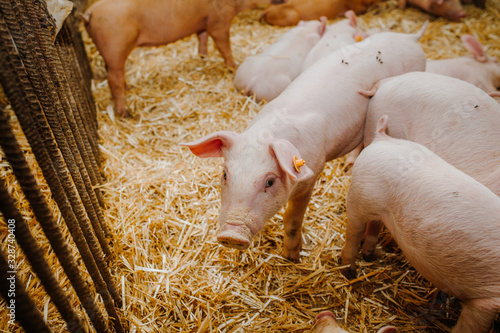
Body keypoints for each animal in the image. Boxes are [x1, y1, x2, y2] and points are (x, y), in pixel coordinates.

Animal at [81, 0, 286, 116]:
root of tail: (89, 13)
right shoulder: (219, 20)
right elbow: (223, 45)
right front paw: (233, 66)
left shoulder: (203, 22)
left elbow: (202, 38)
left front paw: (204, 58)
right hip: (115, 48)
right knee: (113, 79)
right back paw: (124, 112)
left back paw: (129, 88)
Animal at [182, 24, 428, 262]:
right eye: (225, 175)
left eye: (270, 181)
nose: (231, 235)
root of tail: (410, 37)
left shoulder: (312, 174)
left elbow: (292, 218)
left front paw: (292, 257)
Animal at [340, 115, 500, 332]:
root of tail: (382, 138)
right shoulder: (487, 299)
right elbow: (469, 326)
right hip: (359, 197)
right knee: (353, 232)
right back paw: (348, 270)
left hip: (378, 210)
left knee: (374, 226)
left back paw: (370, 255)